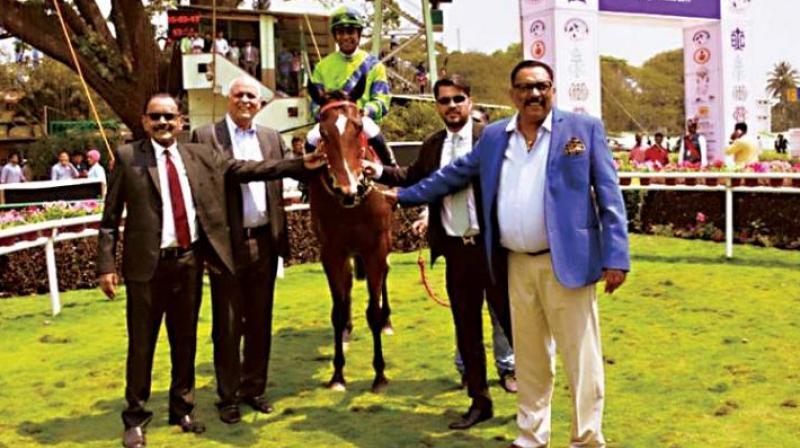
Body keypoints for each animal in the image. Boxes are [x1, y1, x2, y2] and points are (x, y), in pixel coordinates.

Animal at [306, 79, 394, 394]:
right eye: (322, 131)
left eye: (357, 127)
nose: (349, 189)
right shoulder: (332, 252)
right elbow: (338, 311)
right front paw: (337, 374)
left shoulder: (375, 248)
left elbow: (373, 311)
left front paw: (379, 374)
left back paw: (388, 320)